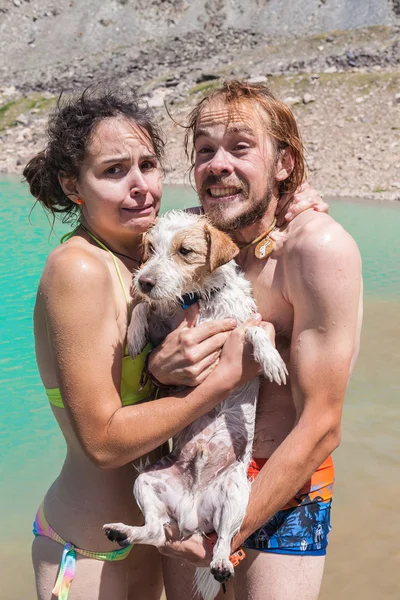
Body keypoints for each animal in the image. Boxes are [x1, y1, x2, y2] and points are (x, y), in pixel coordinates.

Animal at [104, 211, 286, 600]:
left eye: (184, 251)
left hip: (235, 493)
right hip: (146, 483)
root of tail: (192, 515)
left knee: (224, 541)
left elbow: (254, 330)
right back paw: (123, 531)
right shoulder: (165, 326)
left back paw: (219, 563)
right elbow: (143, 310)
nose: (144, 281)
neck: (197, 299)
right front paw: (135, 335)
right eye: (150, 248)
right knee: (155, 531)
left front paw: (271, 360)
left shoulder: (242, 322)